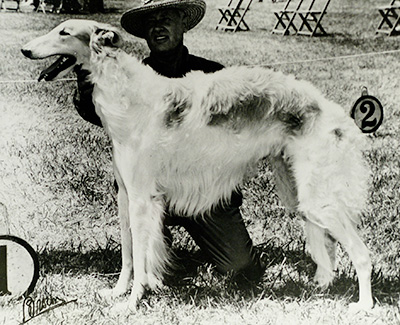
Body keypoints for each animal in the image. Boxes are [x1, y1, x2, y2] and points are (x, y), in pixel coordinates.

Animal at [21, 19, 372, 310]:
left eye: (64, 32)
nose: (24, 49)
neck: (128, 98)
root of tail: (325, 106)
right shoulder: (124, 195)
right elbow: (128, 254)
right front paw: (118, 292)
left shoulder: (142, 199)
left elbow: (141, 256)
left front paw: (132, 303)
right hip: (297, 192)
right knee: (328, 246)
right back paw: (321, 286)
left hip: (318, 198)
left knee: (360, 252)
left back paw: (364, 306)